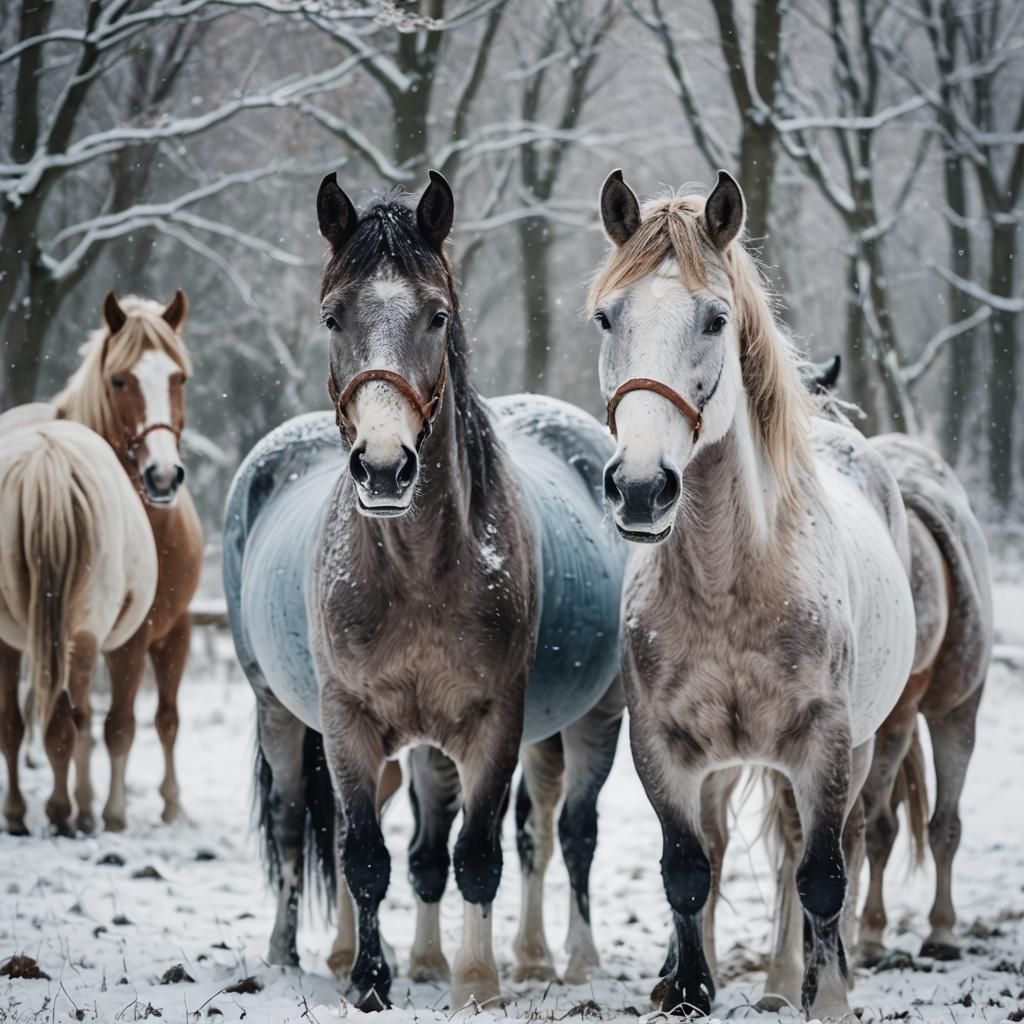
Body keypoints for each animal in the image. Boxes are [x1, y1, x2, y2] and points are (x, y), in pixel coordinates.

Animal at [0, 415, 158, 835]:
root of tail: (48, 462)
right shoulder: (126, 643)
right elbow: (111, 726)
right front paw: (101, 811)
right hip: (81, 635)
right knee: (67, 724)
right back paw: (61, 811)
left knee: (25, 724)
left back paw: (30, 812)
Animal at [49, 292, 204, 829]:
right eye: (119, 380)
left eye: (180, 378)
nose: (163, 476)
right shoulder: (128, 640)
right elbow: (115, 724)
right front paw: (109, 809)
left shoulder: (173, 631)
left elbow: (162, 720)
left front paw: (169, 802)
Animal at [223, 172, 626, 1010]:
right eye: (333, 315)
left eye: (437, 315)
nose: (384, 468)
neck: (413, 571)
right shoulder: (347, 723)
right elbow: (365, 855)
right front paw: (371, 982)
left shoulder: (493, 726)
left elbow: (474, 854)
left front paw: (476, 981)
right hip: (278, 709)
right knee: (293, 826)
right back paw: (290, 957)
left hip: (590, 719)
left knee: (566, 834)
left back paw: (558, 959)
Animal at [588, 168, 918, 1021]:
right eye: (607, 316)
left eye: (714, 317)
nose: (642, 489)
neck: (728, 584)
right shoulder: (663, 747)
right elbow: (686, 869)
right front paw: (687, 990)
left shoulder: (824, 743)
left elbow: (821, 876)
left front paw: (824, 997)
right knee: (719, 848)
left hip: (856, 750)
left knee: (810, 854)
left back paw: (803, 977)